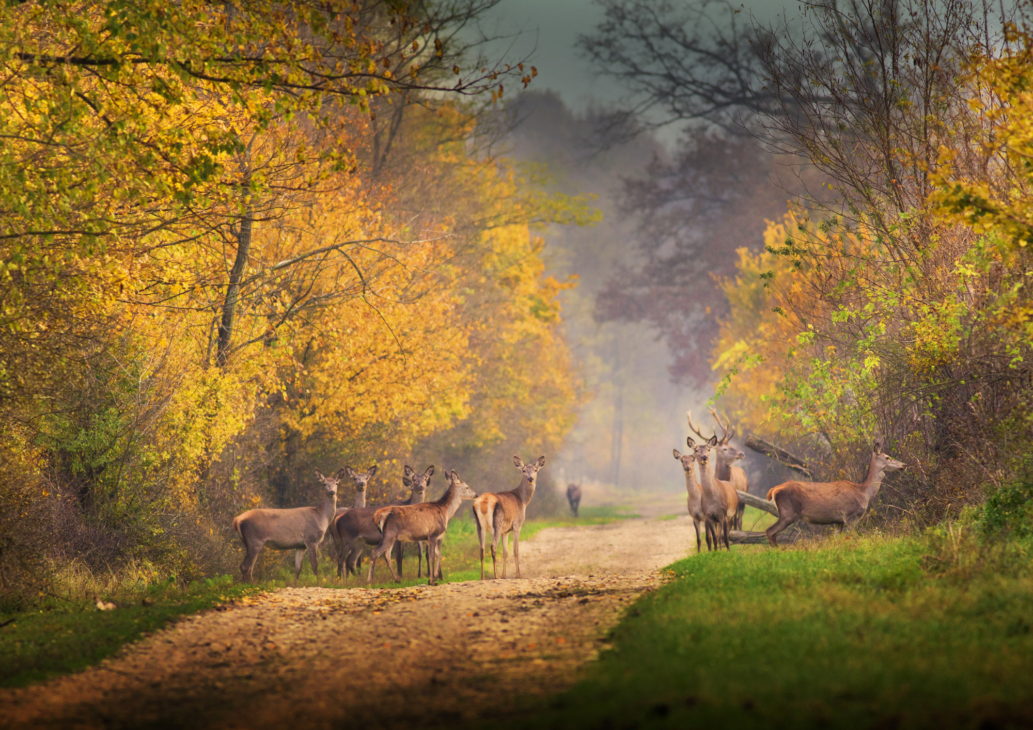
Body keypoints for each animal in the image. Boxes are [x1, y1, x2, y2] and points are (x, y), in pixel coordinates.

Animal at [764, 437, 909, 545]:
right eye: (887, 457)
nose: (904, 465)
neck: (864, 491)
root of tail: (773, 490)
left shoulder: (838, 521)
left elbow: (837, 540)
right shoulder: (850, 515)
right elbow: (855, 537)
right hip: (788, 513)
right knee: (770, 531)